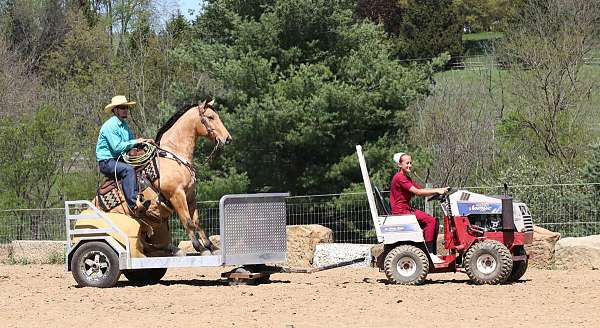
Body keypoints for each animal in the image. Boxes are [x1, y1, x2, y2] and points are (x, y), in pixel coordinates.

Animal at [93, 98, 232, 256]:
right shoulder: (176, 195)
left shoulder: (190, 195)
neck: (174, 156)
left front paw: (211, 247)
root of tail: (95, 204)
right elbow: (187, 221)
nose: (227, 138)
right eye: (210, 117)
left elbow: (196, 222)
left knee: (146, 244)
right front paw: (200, 248)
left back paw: (174, 249)